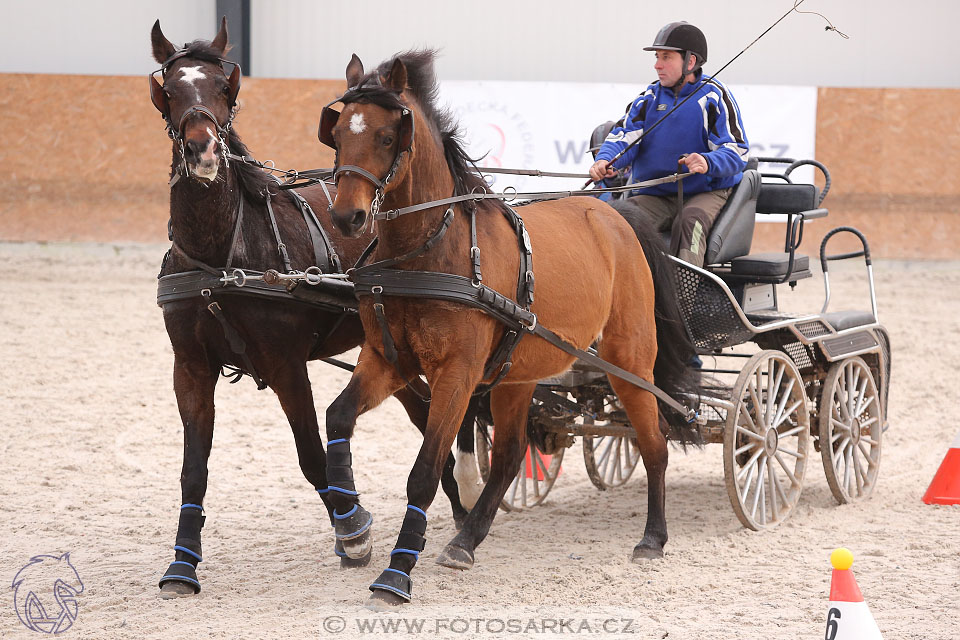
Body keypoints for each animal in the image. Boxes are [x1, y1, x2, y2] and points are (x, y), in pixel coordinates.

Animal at [148, 21, 474, 600]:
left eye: (224, 88)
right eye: (171, 88)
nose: (203, 149)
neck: (224, 253)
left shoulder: (285, 365)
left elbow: (311, 456)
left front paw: (355, 532)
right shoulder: (189, 367)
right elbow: (193, 470)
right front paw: (182, 563)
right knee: (424, 414)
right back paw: (458, 512)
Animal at [320, 50, 696, 608]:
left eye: (388, 137)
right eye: (340, 132)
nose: (348, 216)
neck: (429, 251)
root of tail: (615, 213)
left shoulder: (457, 374)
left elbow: (425, 473)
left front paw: (396, 574)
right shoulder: (389, 359)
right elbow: (338, 418)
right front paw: (352, 530)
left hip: (628, 359)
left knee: (654, 440)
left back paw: (653, 538)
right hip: (518, 373)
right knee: (510, 455)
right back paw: (466, 542)